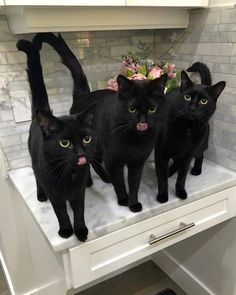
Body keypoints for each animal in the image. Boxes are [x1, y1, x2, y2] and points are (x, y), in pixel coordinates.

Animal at [16, 40, 97, 243]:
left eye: (86, 138)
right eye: (64, 143)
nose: (81, 154)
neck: (70, 174)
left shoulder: (78, 192)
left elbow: (79, 210)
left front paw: (81, 230)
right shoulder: (54, 192)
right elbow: (60, 212)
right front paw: (66, 231)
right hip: (35, 162)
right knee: (37, 177)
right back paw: (40, 195)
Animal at [33, 33, 168, 213]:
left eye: (152, 109)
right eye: (132, 109)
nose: (142, 122)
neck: (135, 139)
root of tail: (83, 95)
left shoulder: (137, 163)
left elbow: (134, 184)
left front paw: (133, 203)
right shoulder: (113, 160)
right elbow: (119, 181)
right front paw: (123, 200)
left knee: (93, 159)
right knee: (93, 161)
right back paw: (100, 179)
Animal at [155, 64, 225, 204]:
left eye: (204, 101)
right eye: (187, 97)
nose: (192, 107)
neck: (187, 128)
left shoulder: (188, 155)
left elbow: (182, 176)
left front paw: (180, 192)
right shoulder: (161, 153)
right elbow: (162, 178)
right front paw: (163, 196)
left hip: (200, 143)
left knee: (200, 155)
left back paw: (196, 169)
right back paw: (170, 171)